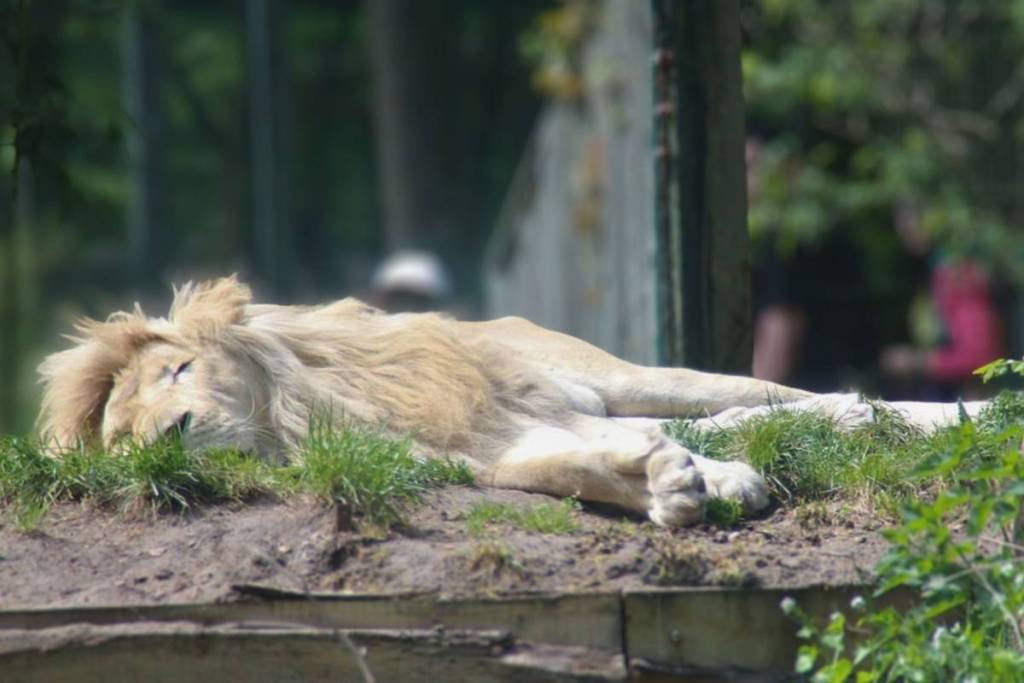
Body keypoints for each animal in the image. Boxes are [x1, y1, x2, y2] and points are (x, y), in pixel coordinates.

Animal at [36, 277, 985, 527]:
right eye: (127, 439)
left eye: (179, 372)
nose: (176, 432)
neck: (306, 420)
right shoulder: (489, 452)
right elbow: (570, 468)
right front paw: (673, 485)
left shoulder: (500, 407)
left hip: (620, 373)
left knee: (776, 395)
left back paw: (930, 414)